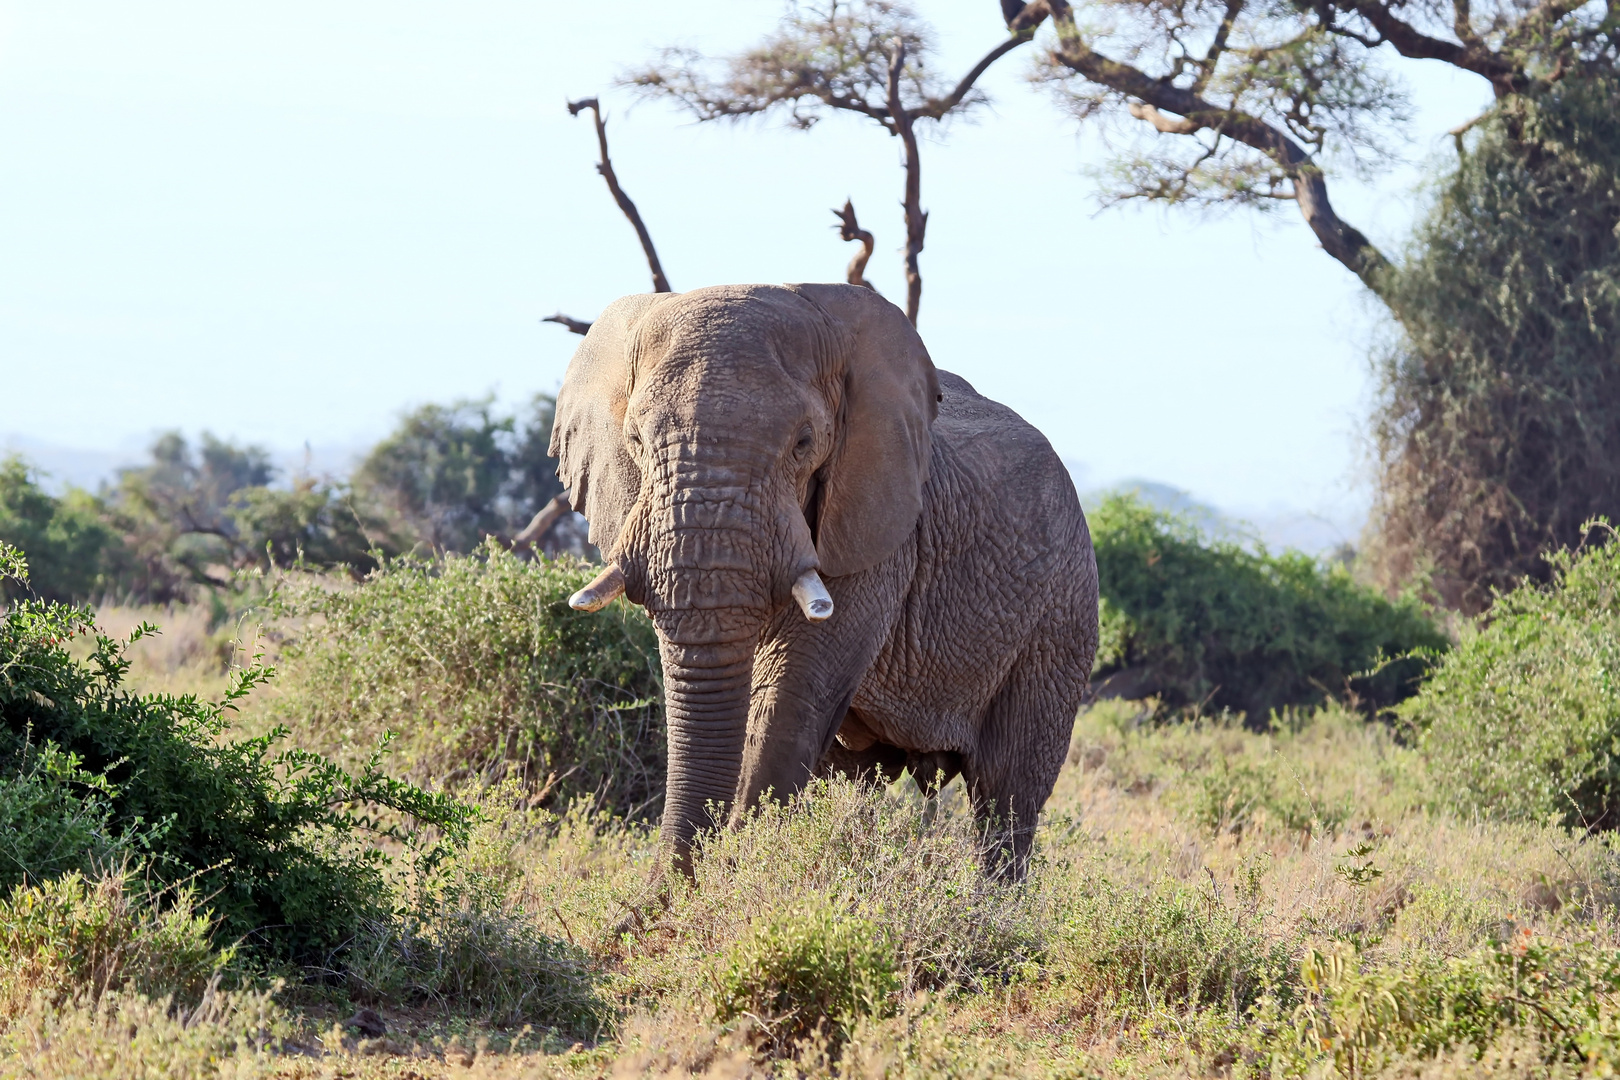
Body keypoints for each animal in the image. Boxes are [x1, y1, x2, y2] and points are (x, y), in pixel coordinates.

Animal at [547, 281, 1101, 880]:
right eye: (635, 441)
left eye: (804, 442)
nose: (655, 896)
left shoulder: (880, 535)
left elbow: (786, 700)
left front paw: (738, 876)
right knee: (859, 775)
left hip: (1061, 617)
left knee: (1007, 793)